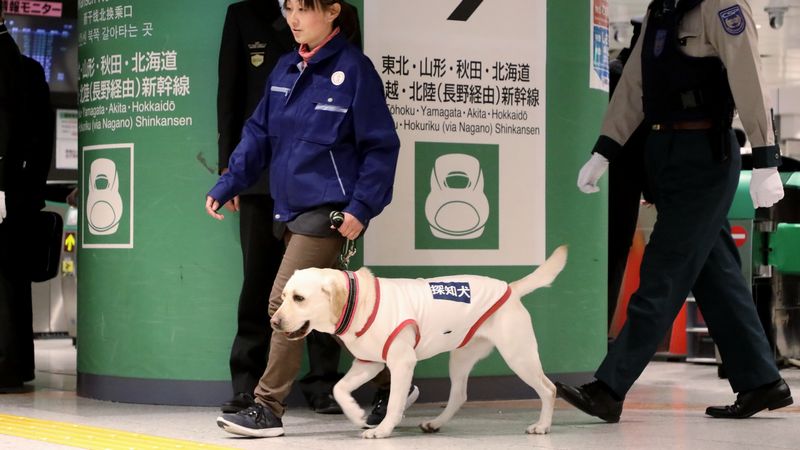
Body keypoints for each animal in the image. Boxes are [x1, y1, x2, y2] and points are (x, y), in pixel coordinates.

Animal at [272, 244, 564, 438]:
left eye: (299, 298)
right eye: (284, 296)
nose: (274, 321)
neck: (358, 302)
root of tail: (510, 289)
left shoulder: (401, 363)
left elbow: (393, 402)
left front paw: (382, 430)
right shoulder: (368, 363)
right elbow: (339, 388)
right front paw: (356, 414)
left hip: (519, 356)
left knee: (549, 389)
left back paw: (542, 425)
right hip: (461, 358)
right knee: (459, 395)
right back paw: (435, 423)